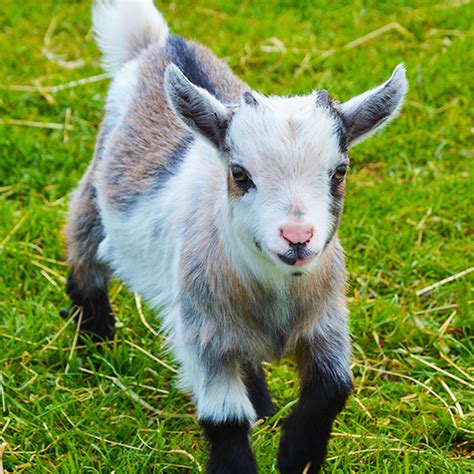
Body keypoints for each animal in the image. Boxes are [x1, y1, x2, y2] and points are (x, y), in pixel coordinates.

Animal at [63, 0, 410, 470]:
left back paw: (261, 401)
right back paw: (96, 338)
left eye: (339, 172)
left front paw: (297, 455)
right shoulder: (203, 333)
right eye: (240, 174)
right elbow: (224, 419)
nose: (297, 236)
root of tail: (157, 44)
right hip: (94, 196)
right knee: (83, 257)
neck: (276, 293)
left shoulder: (327, 321)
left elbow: (333, 389)